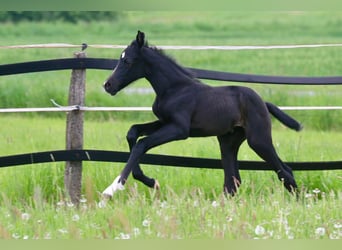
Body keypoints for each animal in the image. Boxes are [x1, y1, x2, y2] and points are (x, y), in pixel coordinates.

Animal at [102, 30, 302, 197]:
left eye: (127, 61)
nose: (108, 85)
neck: (174, 88)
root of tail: (263, 102)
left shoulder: (179, 129)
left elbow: (141, 144)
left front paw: (113, 188)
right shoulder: (164, 122)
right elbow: (133, 132)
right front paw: (150, 181)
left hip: (258, 140)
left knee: (285, 172)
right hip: (229, 142)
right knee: (234, 180)